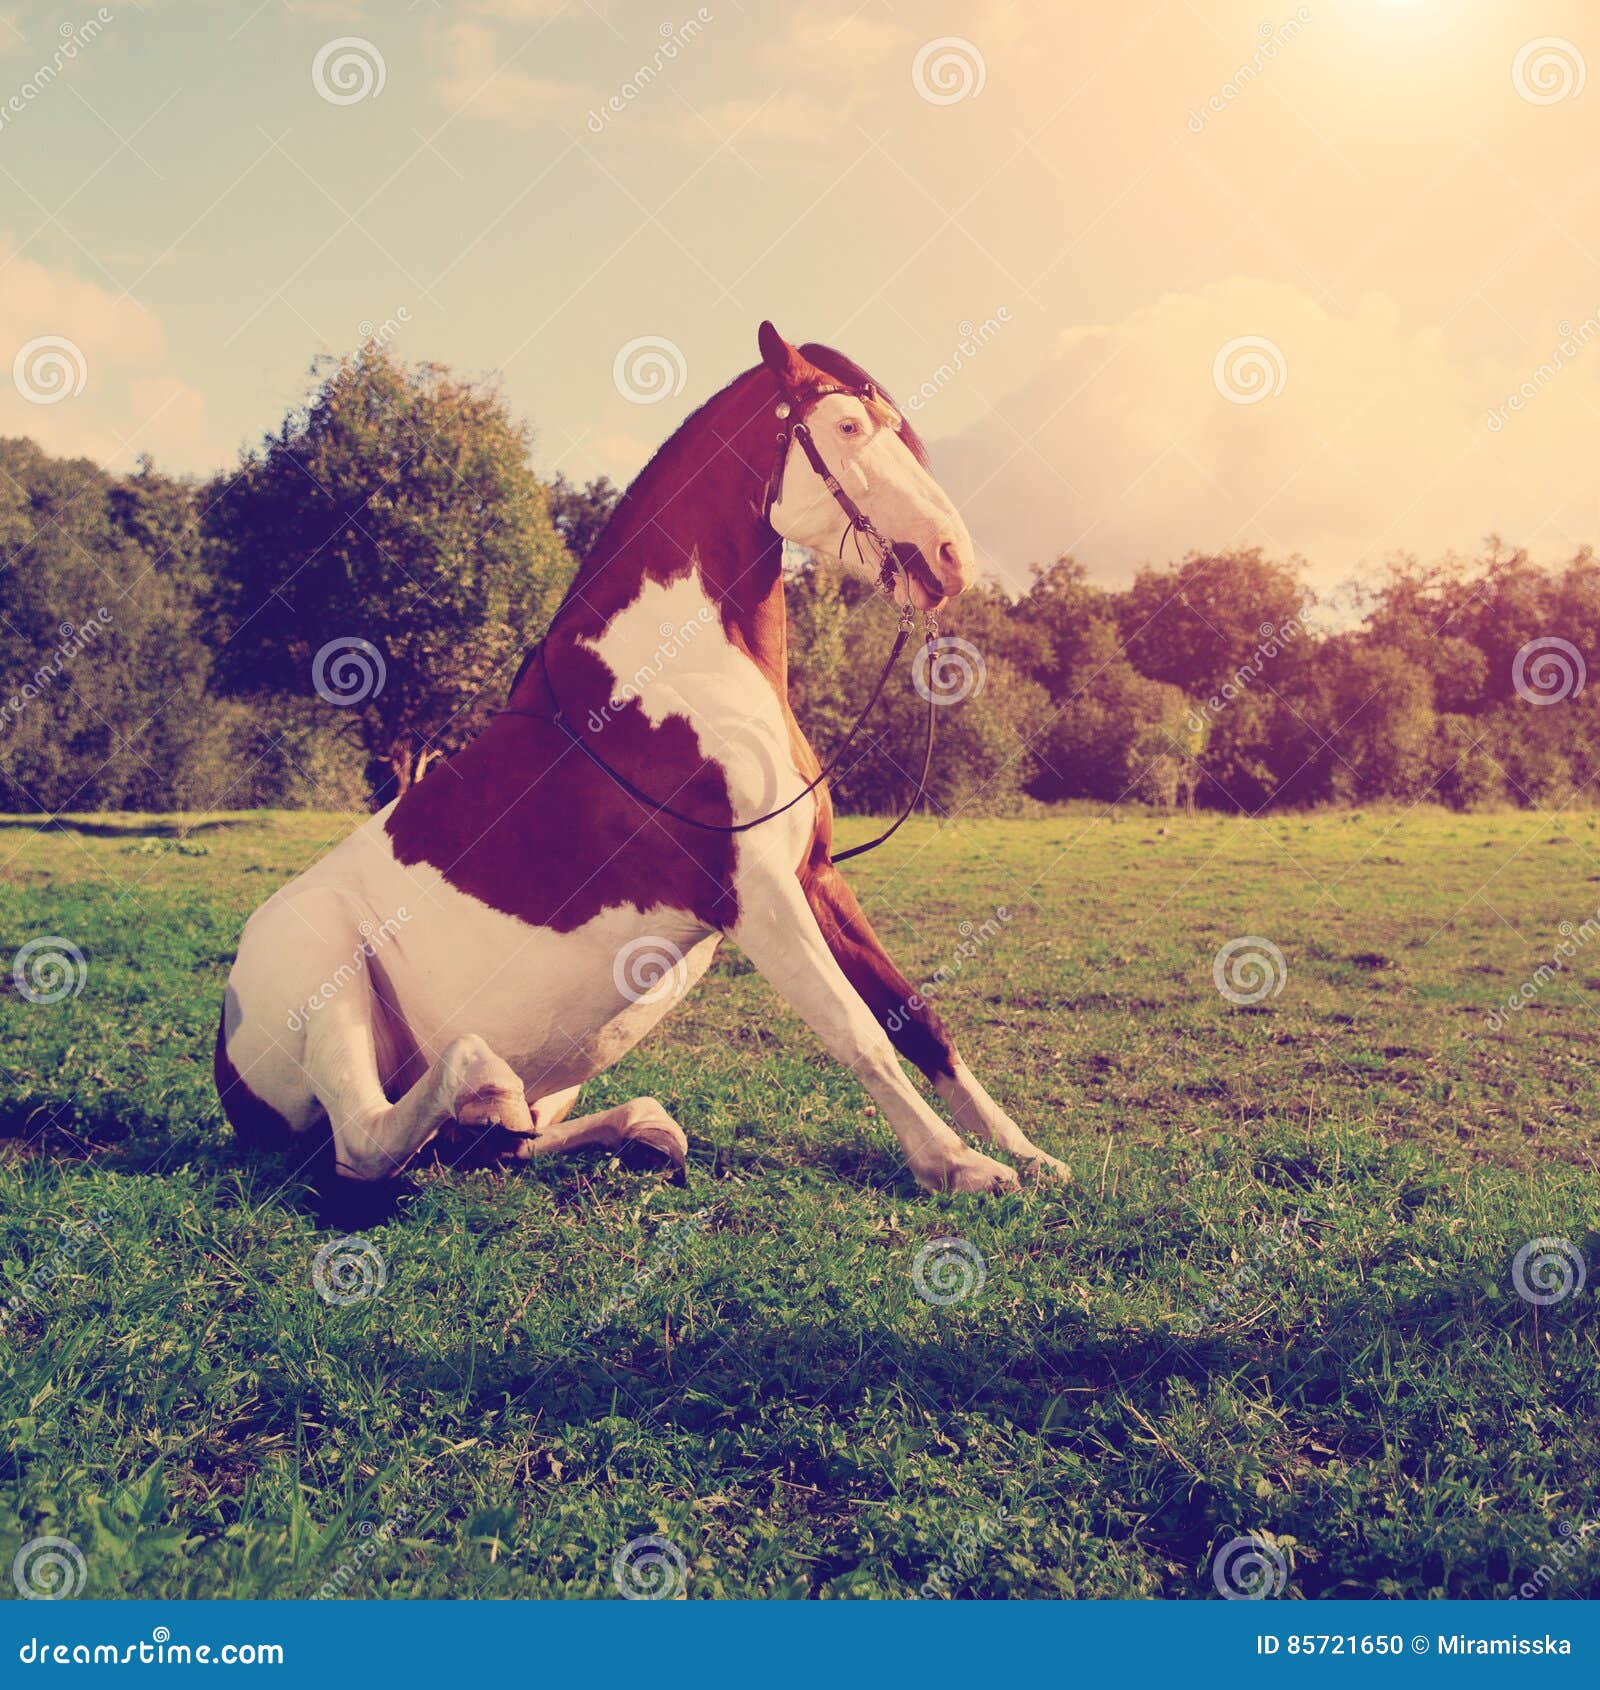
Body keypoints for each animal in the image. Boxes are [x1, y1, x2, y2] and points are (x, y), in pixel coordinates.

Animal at [212, 322, 1061, 1196]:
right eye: (850, 428)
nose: (951, 557)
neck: (673, 675)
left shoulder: (815, 876)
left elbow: (919, 1019)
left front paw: (1026, 1153)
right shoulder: (756, 897)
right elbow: (858, 1031)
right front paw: (959, 1165)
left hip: (563, 1068)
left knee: (504, 1142)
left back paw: (638, 1129)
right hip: (326, 975)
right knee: (367, 1142)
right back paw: (484, 1084)